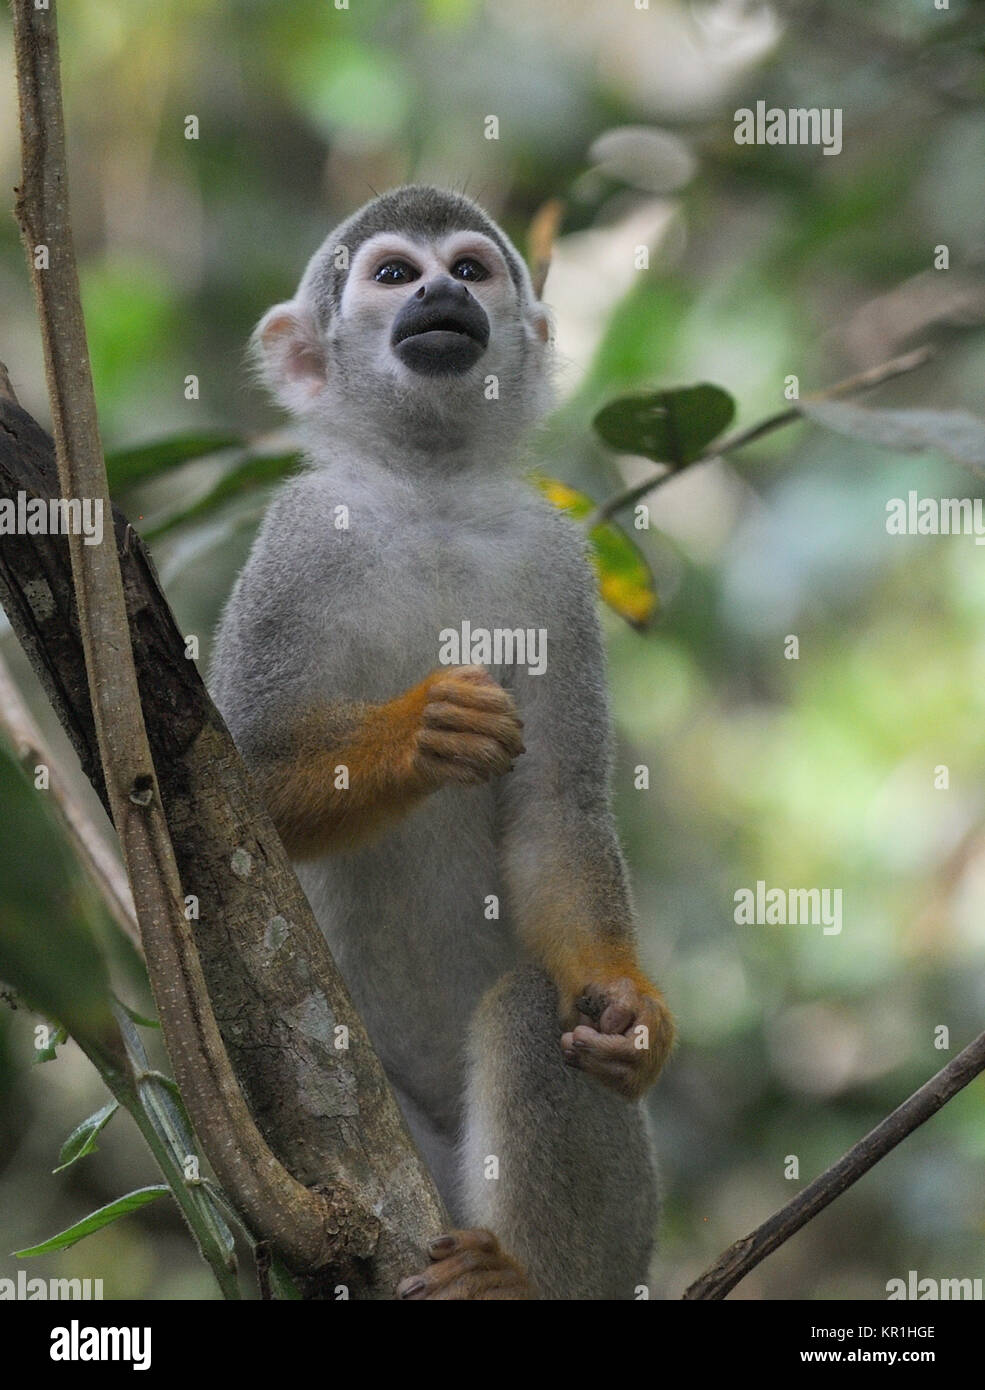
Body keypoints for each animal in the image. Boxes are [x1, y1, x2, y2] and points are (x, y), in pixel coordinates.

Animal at [209, 179, 672, 1295]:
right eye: (391, 275)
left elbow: (556, 812)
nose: (436, 297)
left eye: (468, 270)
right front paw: (421, 731)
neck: (429, 494)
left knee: (540, 1009)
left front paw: (635, 1013)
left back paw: (521, 1277)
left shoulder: (559, 559)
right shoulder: (295, 537)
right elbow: (225, 792)